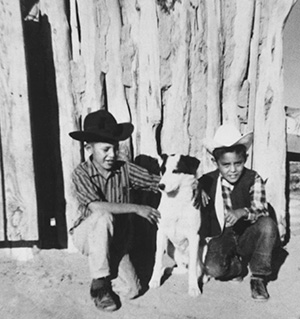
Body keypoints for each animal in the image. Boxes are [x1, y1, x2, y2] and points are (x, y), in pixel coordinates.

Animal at [149, 154, 203, 298]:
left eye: (176, 171)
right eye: (163, 170)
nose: (160, 186)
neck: (176, 201)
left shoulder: (194, 236)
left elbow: (193, 271)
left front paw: (194, 288)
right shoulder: (160, 233)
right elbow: (157, 260)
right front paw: (155, 280)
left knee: (196, 270)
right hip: (170, 248)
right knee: (183, 269)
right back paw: (168, 269)